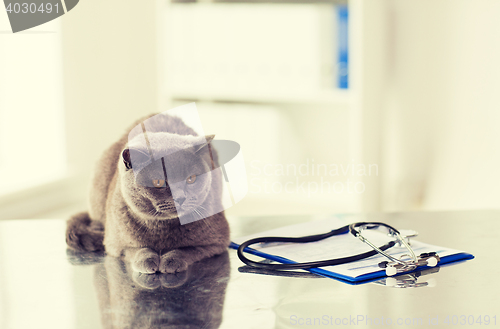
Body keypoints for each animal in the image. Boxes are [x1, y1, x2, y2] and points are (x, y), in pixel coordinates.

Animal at [67, 111, 230, 272]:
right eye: (158, 182)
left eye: (191, 178)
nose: (181, 198)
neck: (160, 230)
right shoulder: (114, 244)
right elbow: (137, 249)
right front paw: (148, 260)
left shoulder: (217, 241)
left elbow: (189, 250)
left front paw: (171, 261)